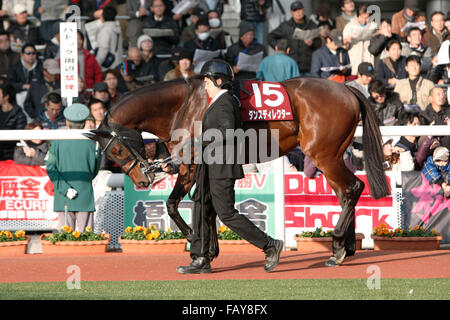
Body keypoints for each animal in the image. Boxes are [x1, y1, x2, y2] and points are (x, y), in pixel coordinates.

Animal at [85, 76, 390, 266]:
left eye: (117, 151)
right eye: (111, 154)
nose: (141, 179)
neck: (183, 106)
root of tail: (347, 90)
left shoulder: (191, 165)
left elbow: (179, 205)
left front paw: (195, 241)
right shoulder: (201, 166)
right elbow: (199, 207)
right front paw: (206, 251)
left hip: (323, 155)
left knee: (353, 188)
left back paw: (337, 245)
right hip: (333, 155)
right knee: (345, 193)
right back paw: (344, 248)